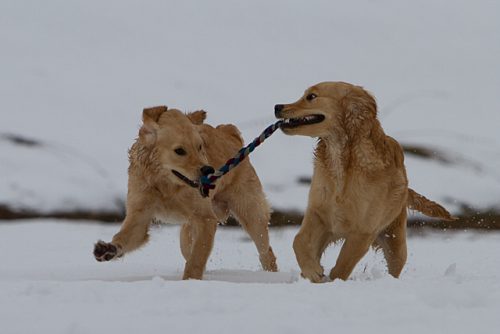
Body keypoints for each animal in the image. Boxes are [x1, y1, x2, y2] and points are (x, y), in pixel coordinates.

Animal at [94, 107, 278, 280]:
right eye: (179, 151)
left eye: (200, 146)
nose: (208, 170)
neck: (165, 185)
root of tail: (228, 132)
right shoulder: (139, 214)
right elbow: (123, 236)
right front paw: (108, 249)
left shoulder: (206, 219)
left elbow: (196, 259)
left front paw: (190, 281)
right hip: (186, 235)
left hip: (252, 216)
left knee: (266, 252)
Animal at [276, 81, 456, 282]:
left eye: (311, 96)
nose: (277, 107)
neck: (342, 163)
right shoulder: (319, 213)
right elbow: (298, 241)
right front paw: (313, 271)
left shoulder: (362, 231)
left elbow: (342, 266)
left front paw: (330, 279)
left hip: (395, 242)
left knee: (396, 264)